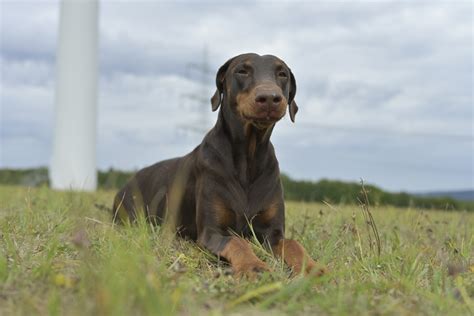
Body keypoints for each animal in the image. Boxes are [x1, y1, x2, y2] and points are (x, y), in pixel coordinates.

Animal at [113, 53, 324, 276]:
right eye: (242, 71)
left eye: (282, 73)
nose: (269, 97)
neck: (248, 158)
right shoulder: (211, 232)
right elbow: (238, 242)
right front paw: (254, 266)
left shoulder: (273, 232)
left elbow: (293, 244)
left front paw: (315, 268)